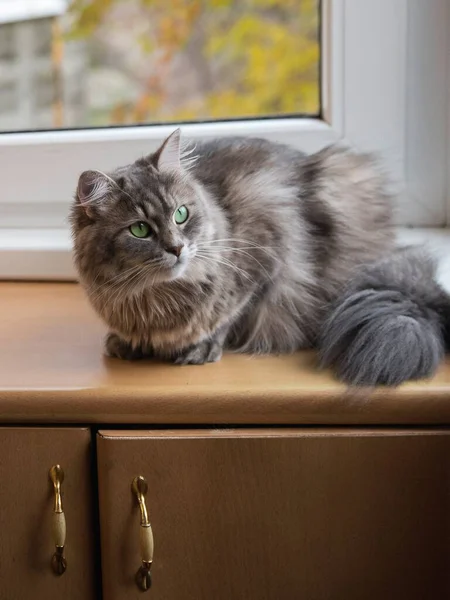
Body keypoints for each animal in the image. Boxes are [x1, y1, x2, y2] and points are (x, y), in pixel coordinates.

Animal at [70, 129, 450, 386]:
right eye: (140, 230)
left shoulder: (265, 261)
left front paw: (203, 346)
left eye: (181, 214)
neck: (154, 300)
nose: (177, 248)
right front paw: (126, 342)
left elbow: (229, 315)